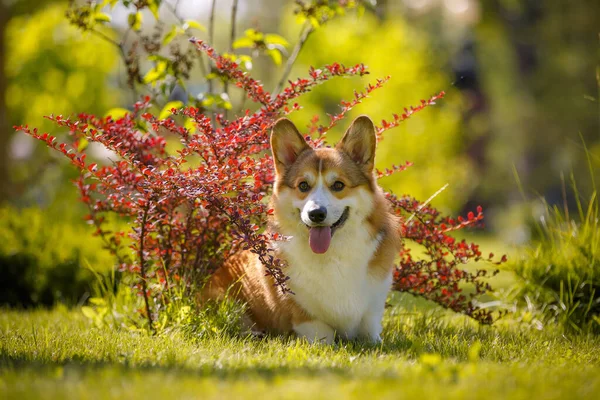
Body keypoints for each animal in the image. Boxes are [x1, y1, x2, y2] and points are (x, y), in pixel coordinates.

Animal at [204, 115, 400, 344]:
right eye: (303, 186)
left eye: (339, 185)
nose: (316, 214)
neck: (332, 254)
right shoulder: (306, 318)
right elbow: (324, 337)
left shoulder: (372, 314)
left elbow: (371, 335)